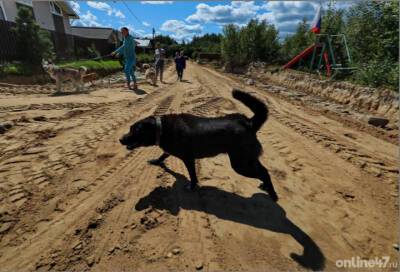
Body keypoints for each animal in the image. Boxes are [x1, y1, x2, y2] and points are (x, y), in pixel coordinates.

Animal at [119, 90, 278, 202]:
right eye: (130, 128)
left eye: (136, 131)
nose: (120, 139)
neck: (161, 128)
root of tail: (249, 123)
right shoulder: (170, 151)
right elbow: (163, 155)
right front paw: (156, 161)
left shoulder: (188, 159)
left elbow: (192, 175)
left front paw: (192, 186)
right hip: (248, 159)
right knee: (264, 170)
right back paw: (266, 186)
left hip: (240, 164)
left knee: (263, 172)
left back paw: (273, 194)